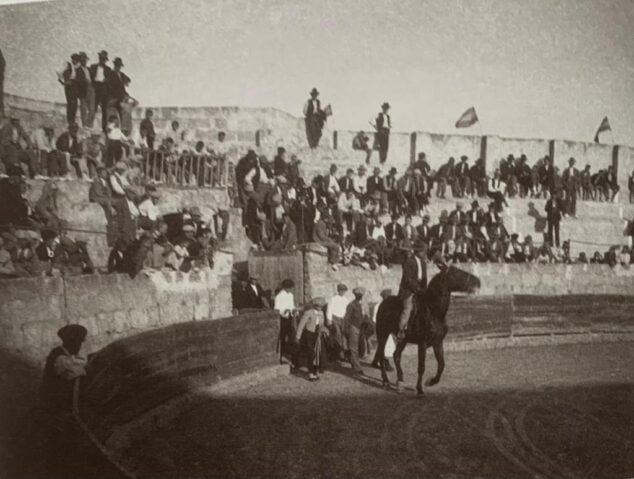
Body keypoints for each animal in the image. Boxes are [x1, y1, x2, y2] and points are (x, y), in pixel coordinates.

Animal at [376, 266, 478, 398]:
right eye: (457, 273)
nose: (477, 282)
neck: (433, 311)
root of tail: (383, 302)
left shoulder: (437, 343)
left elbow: (441, 364)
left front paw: (431, 382)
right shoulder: (422, 343)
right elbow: (422, 367)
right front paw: (420, 390)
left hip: (403, 339)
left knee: (396, 355)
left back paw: (400, 382)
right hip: (382, 334)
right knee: (381, 355)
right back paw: (386, 381)